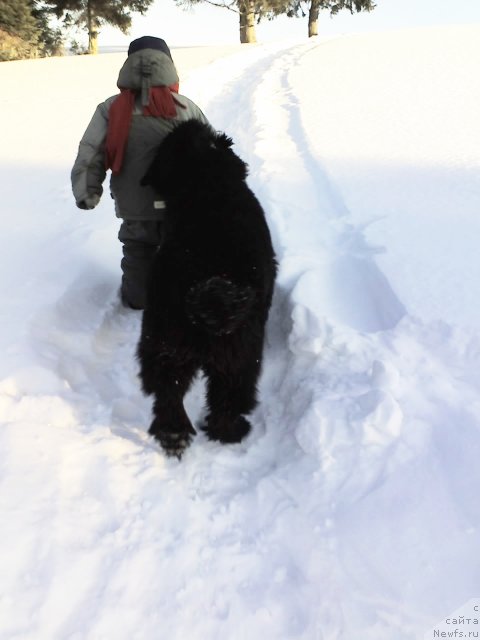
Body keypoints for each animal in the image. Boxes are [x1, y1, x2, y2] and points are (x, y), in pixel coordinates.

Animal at [137, 120, 278, 458]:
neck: (209, 180)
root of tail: (214, 288)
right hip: (241, 350)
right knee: (228, 394)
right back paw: (229, 432)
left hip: (165, 338)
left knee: (168, 388)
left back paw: (175, 435)